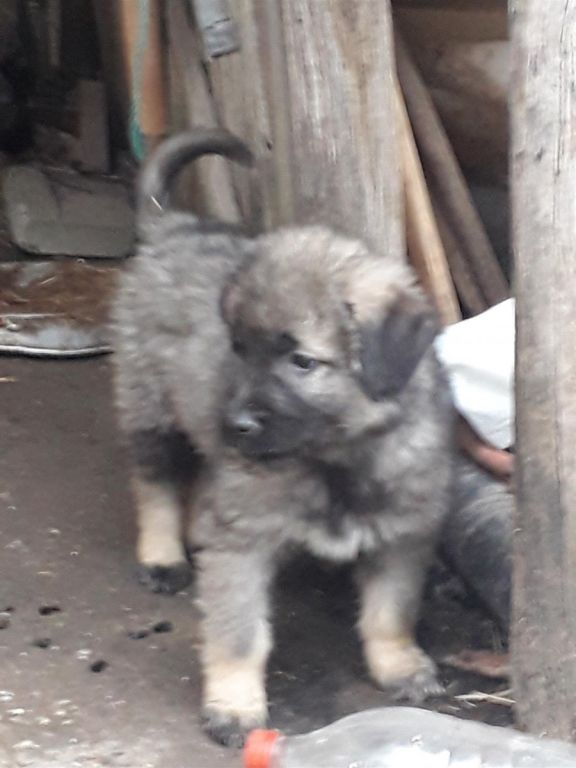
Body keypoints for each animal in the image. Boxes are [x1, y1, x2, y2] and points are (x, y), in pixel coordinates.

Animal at [112, 128, 454, 748]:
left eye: (301, 361)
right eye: (238, 349)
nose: (236, 425)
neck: (335, 458)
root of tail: (175, 227)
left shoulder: (403, 532)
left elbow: (390, 611)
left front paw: (399, 664)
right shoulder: (245, 542)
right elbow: (240, 633)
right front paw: (234, 704)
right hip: (151, 411)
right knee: (156, 484)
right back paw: (163, 555)